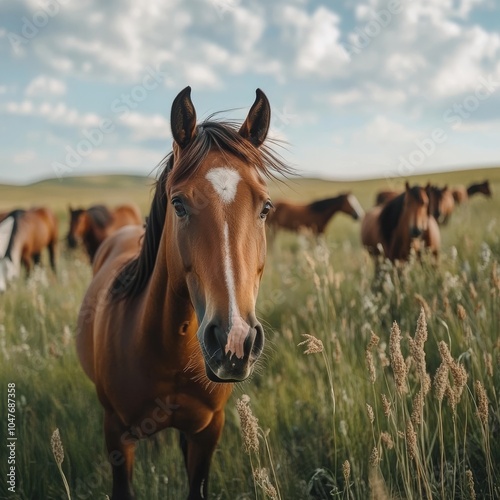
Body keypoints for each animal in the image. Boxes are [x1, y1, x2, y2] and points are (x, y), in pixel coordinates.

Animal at [76, 88, 292, 498]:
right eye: (178, 204)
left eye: (266, 207)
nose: (234, 340)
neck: (166, 352)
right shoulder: (116, 435)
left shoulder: (207, 432)